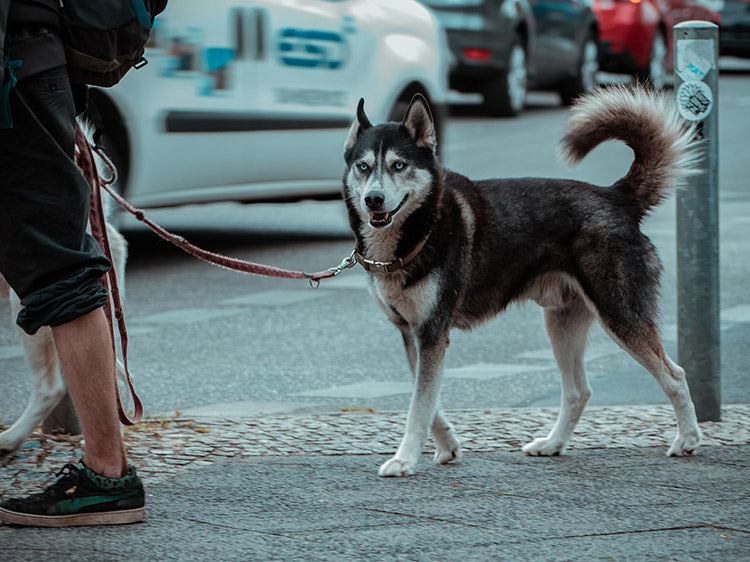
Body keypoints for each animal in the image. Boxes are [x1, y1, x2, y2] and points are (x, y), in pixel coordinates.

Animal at [346, 88, 704, 476]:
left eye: (399, 165)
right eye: (363, 166)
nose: (373, 199)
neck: (422, 229)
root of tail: (615, 197)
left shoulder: (432, 333)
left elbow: (418, 407)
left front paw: (404, 458)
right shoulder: (413, 334)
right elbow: (428, 402)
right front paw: (448, 445)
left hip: (620, 316)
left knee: (675, 375)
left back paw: (687, 439)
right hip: (561, 323)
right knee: (579, 391)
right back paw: (552, 444)